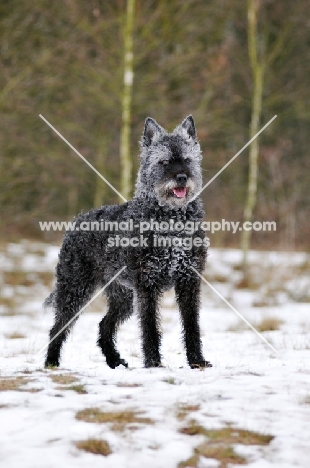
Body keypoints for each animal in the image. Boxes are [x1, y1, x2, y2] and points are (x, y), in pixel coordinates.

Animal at [44, 116, 211, 370]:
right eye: (164, 161)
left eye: (187, 160)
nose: (182, 177)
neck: (171, 222)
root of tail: (77, 219)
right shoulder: (147, 285)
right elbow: (150, 327)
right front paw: (153, 362)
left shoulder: (188, 281)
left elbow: (192, 325)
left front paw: (197, 361)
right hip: (74, 290)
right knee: (58, 327)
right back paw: (51, 362)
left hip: (122, 298)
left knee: (104, 326)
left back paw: (114, 360)